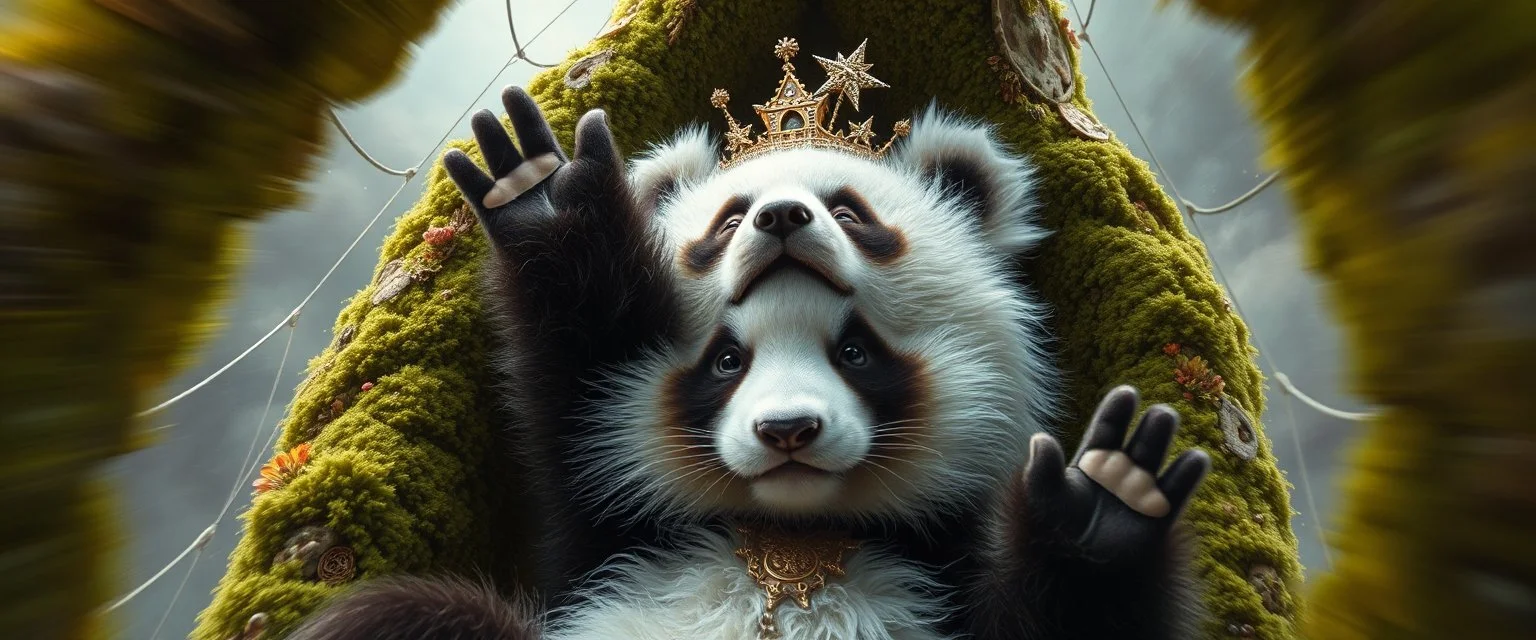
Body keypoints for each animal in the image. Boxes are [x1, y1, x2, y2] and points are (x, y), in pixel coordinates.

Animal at [289, 85, 1211, 640]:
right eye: (726, 360)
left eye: (854, 351)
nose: (788, 430)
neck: (792, 535)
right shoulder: (609, 534)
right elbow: (581, 364)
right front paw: (541, 192)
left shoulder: (934, 586)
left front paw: (1103, 502)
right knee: (406, 615)